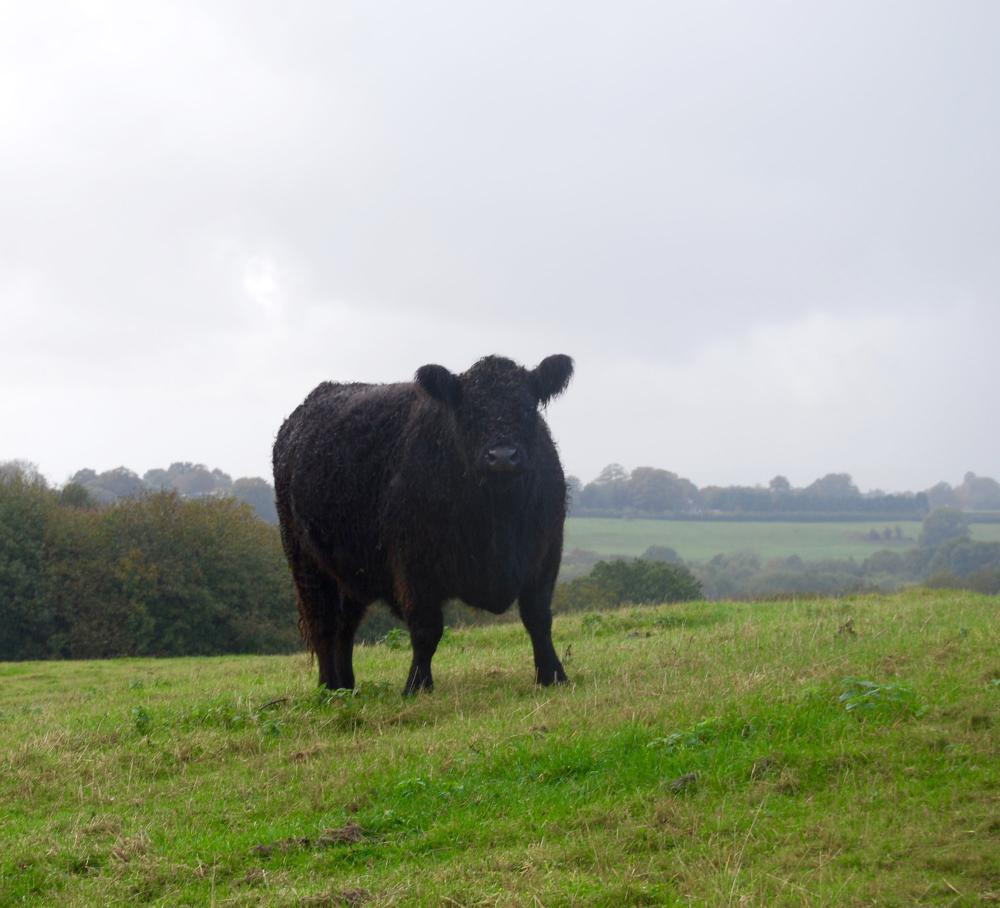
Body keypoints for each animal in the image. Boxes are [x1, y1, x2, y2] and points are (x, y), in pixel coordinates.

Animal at [272, 354, 575, 695]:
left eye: (527, 407)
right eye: (467, 410)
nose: (502, 456)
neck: (497, 518)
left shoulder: (546, 554)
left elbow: (538, 617)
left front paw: (553, 675)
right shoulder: (414, 565)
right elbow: (426, 629)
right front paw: (417, 686)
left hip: (350, 570)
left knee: (345, 625)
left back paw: (347, 687)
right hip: (304, 560)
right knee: (322, 622)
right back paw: (328, 688)